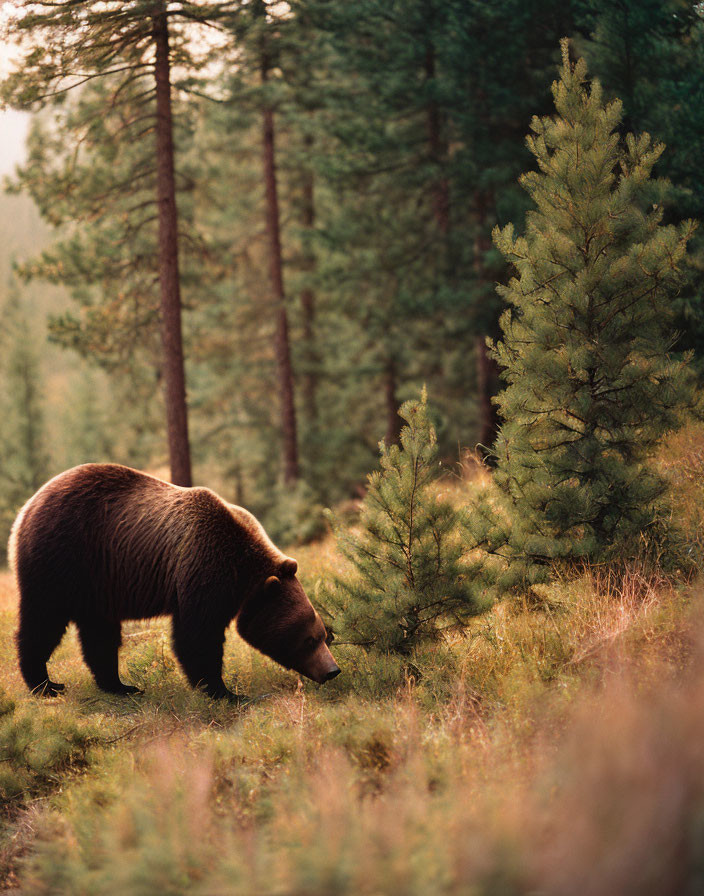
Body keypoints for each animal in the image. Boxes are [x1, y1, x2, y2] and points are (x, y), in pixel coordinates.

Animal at [8, 462, 340, 700]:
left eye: (324, 634)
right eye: (309, 638)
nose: (332, 670)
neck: (242, 570)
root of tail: (26, 508)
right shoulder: (203, 565)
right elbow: (197, 635)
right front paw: (226, 692)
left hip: (98, 581)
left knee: (99, 633)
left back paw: (121, 686)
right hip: (62, 556)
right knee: (44, 620)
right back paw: (45, 684)